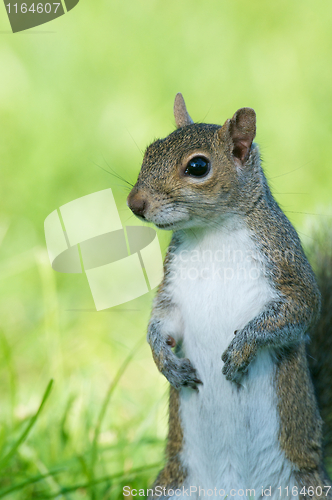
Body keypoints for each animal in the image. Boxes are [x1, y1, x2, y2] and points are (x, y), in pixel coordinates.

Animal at [127, 94, 332, 500]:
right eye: (149, 151)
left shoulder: (287, 268)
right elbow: (162, 323)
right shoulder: (174, 289)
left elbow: (298, 311)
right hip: (172, 486)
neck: (211, 234)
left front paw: (241, 351)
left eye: (198, 166)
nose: (134, 202)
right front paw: (166, 362)